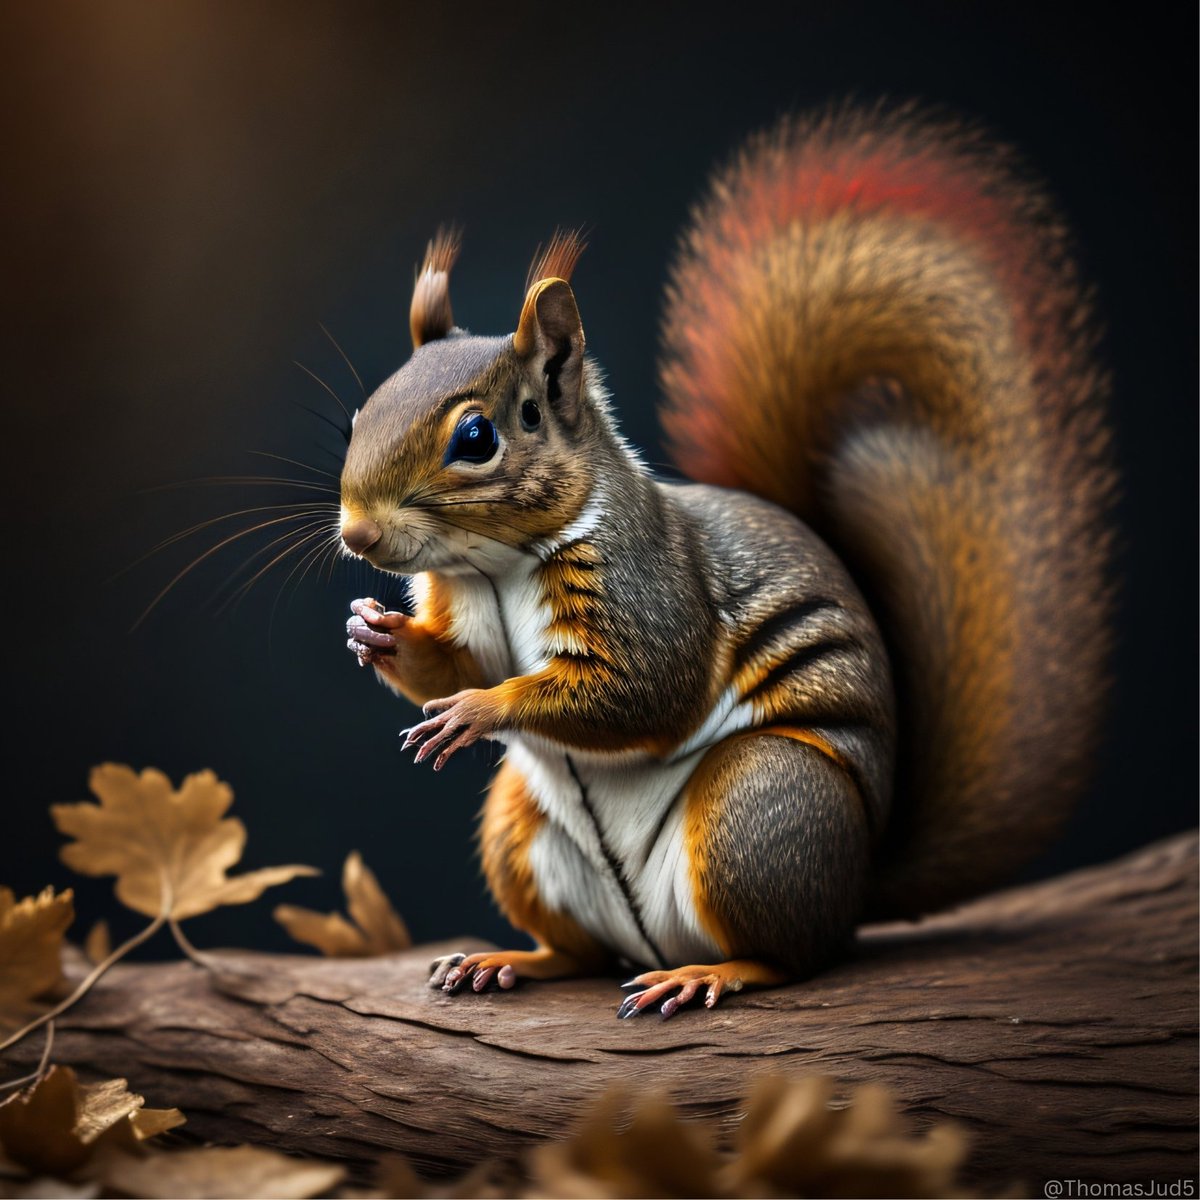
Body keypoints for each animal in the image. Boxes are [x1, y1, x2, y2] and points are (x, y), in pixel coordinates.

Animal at [338, 103, 1115, 1019]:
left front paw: (478, 710)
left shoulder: (647, 584)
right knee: (579, 951)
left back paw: (710, 972)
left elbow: (639, 688)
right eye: (362, 411)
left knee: (789, 955)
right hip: (515, 828)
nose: (357, 535)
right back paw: (511, 960)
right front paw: (376, 633)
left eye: (475, 436)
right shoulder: (466, 610)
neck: (493, 565)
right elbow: (460, 660)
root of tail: (854, 889)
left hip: (759, 810)